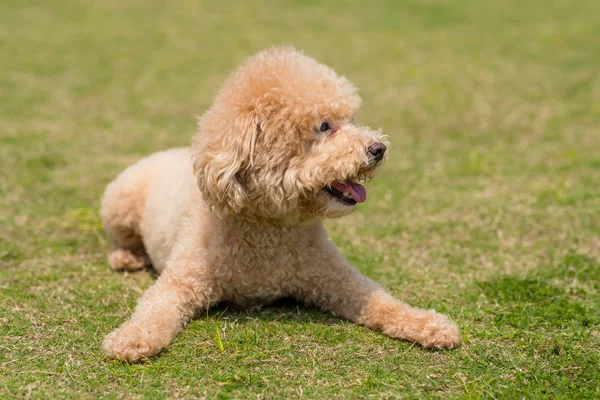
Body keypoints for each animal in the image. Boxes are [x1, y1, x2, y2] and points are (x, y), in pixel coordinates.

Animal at [101, 45, 462, 360]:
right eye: (324, 126)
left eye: (351, 119)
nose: (378, 148)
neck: (271, 225)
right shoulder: (181, 280)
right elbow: (154, 308)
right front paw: (131, 338)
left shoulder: (334, 278)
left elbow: (381, 300)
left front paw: (431, 325)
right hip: (118, 203)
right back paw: (126, 257)